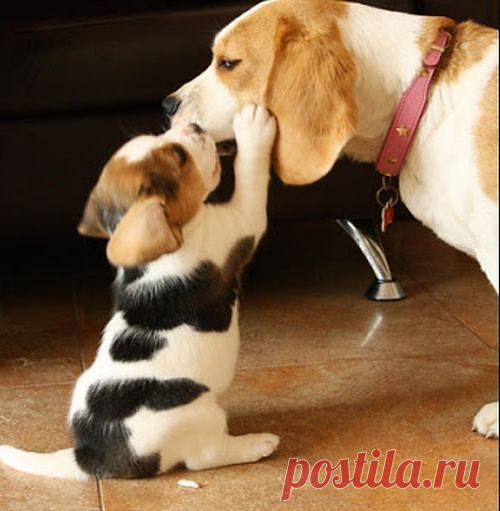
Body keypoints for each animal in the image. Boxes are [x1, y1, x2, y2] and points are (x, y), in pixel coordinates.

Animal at [0, 104, 280, 480]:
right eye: (179, 157)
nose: (193, 126)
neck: (166, 243)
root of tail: (91, 456)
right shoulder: (239, 224)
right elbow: (251, 178)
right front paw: (252, 127)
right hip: (200, 415)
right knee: (205, 457)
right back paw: (256, 444)